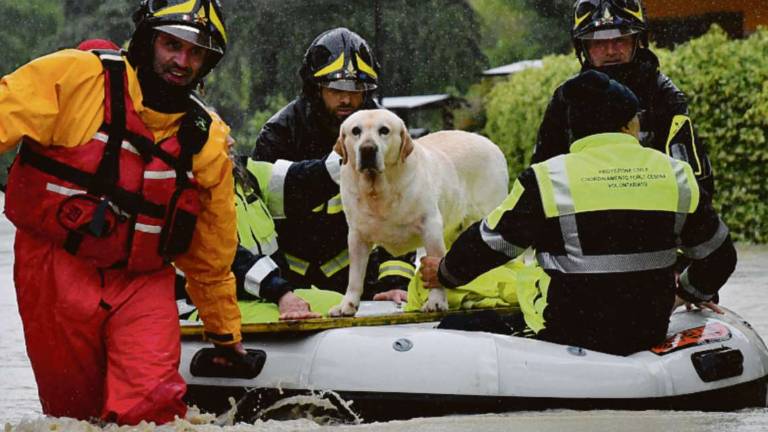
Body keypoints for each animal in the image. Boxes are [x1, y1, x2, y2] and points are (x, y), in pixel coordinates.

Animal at [328, 109, 508, 316]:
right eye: (356, 131)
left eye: (384, 130)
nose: (367, 149)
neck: (378, 192)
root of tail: (491, 144)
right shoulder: (357, 236)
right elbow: (355, 277)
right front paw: (346, 305)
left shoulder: (430, 227)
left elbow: (435, 267)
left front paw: (436, 302)